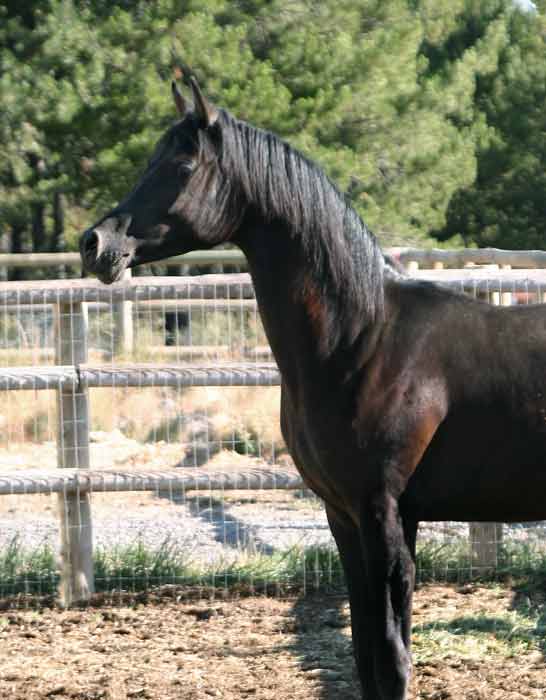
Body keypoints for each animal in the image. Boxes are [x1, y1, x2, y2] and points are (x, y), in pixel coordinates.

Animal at [79, 76, 544, 700]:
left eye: (182, 164)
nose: (95, 244)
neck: (364, 338)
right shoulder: (343, 517)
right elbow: (365, 655)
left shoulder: (384, 516)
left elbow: (392, 661)